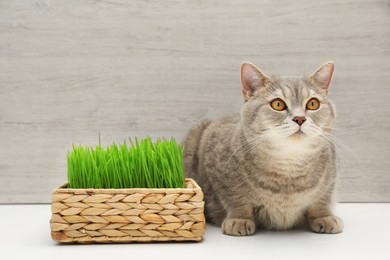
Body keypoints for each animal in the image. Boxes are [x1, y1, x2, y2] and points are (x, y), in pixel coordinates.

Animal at [181, 61, 342, 236]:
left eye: (313, 104)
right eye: (278, 104)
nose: (300, 118)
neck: (288, 167)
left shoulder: (331, 175)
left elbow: (322, 200)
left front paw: (324, 216)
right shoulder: (216, 161)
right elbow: (235, 198)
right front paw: (240, 219)